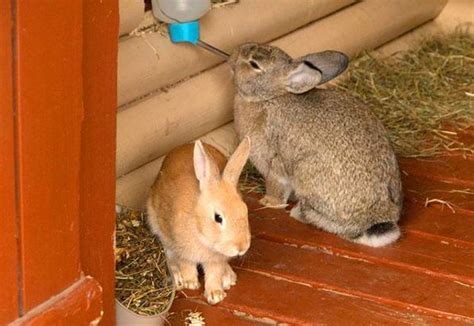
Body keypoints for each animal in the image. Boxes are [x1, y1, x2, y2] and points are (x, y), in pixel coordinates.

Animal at [147, 137, 252, 304]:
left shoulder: (215, 260)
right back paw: (178, 277)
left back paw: (228, 277)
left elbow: (214, 274)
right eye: (218, 217)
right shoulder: (182, 250)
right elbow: (186, 264)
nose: (242, 247)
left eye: (245, 210)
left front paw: (215, 294)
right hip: (157, 226)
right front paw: (190, 283)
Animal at [229, 43, 400, 247]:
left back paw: (298, 213)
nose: (233, 54)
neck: (269, 98)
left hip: (306, 173)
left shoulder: (274, 163)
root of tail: (378, 216)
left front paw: (268, 202)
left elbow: (277, 185)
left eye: (254, 64)